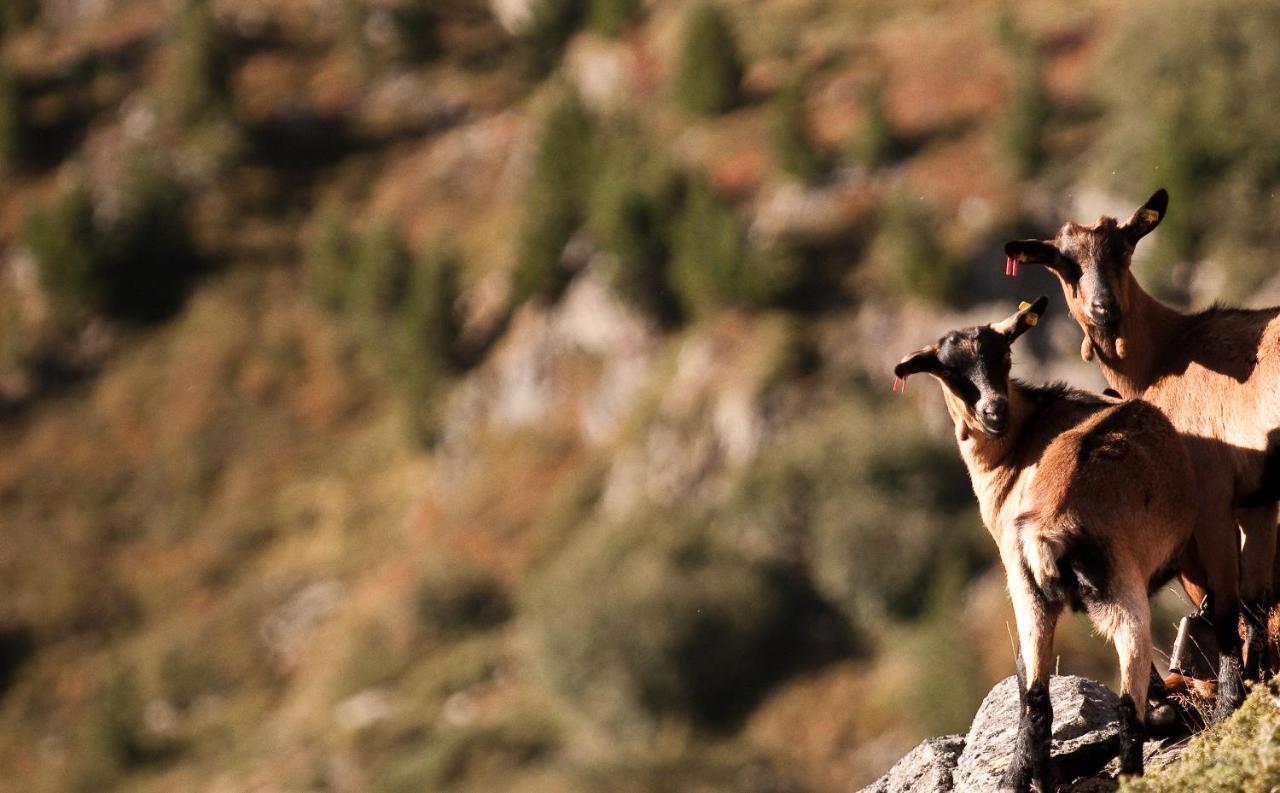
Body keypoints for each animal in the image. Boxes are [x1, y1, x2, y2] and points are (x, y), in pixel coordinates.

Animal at [890, 295, 1198, 787]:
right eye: (950, 371)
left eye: (1003, 355)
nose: (994, 412)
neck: (1021, 445)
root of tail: (1050, 531)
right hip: (1106, 592)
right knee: (1090, 703)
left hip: (1046, 595)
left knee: (1043, 699)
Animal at [1003, 189, 1274, 716]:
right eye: (1063, 263)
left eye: (1124, 247)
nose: (1104, 309)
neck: (1169, 353)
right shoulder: (1257, 499)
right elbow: (1255, 596)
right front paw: (1258, 682)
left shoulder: (1212, 497)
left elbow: (1227, 605)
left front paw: (1231, 701)